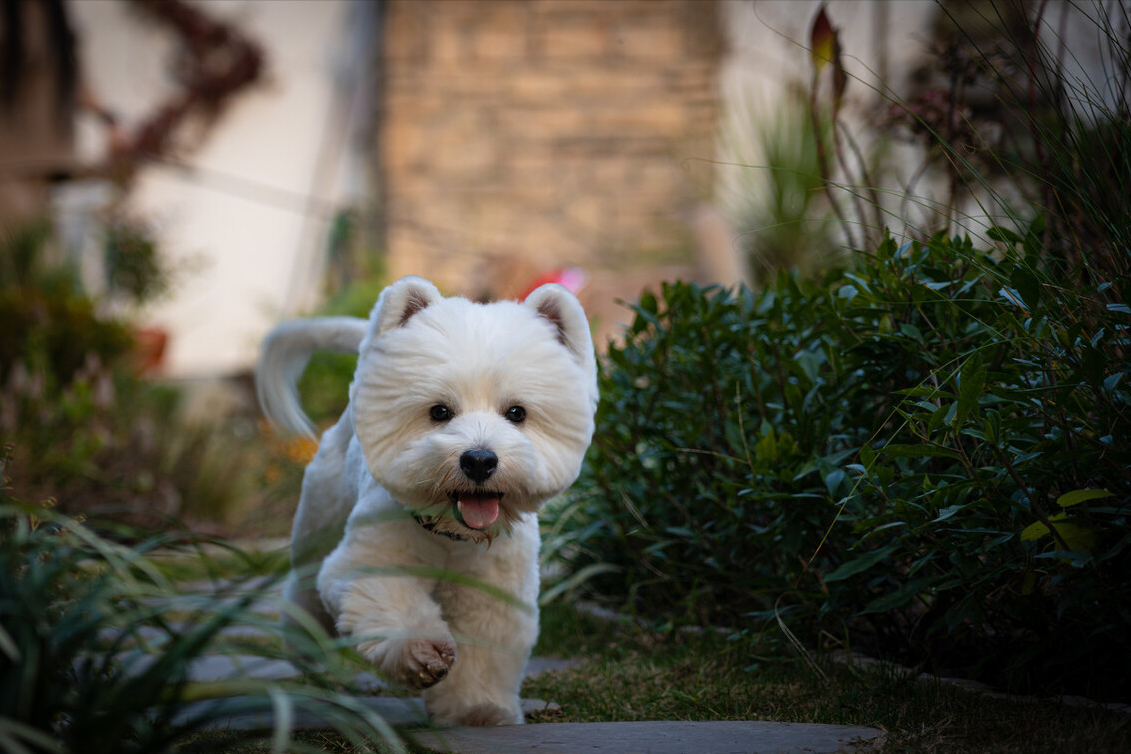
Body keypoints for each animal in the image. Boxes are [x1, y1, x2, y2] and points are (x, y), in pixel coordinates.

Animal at [253, 275, 597, 723]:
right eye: (439, 412)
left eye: (517, 413)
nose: (479, 460)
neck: (452, 536)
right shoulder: (372, 563)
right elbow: (391, 605)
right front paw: (422, 653)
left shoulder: (493, 597)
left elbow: (483, 657)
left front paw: (476, 709)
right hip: (318, 524)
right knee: (305, 590)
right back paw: (308, 652)